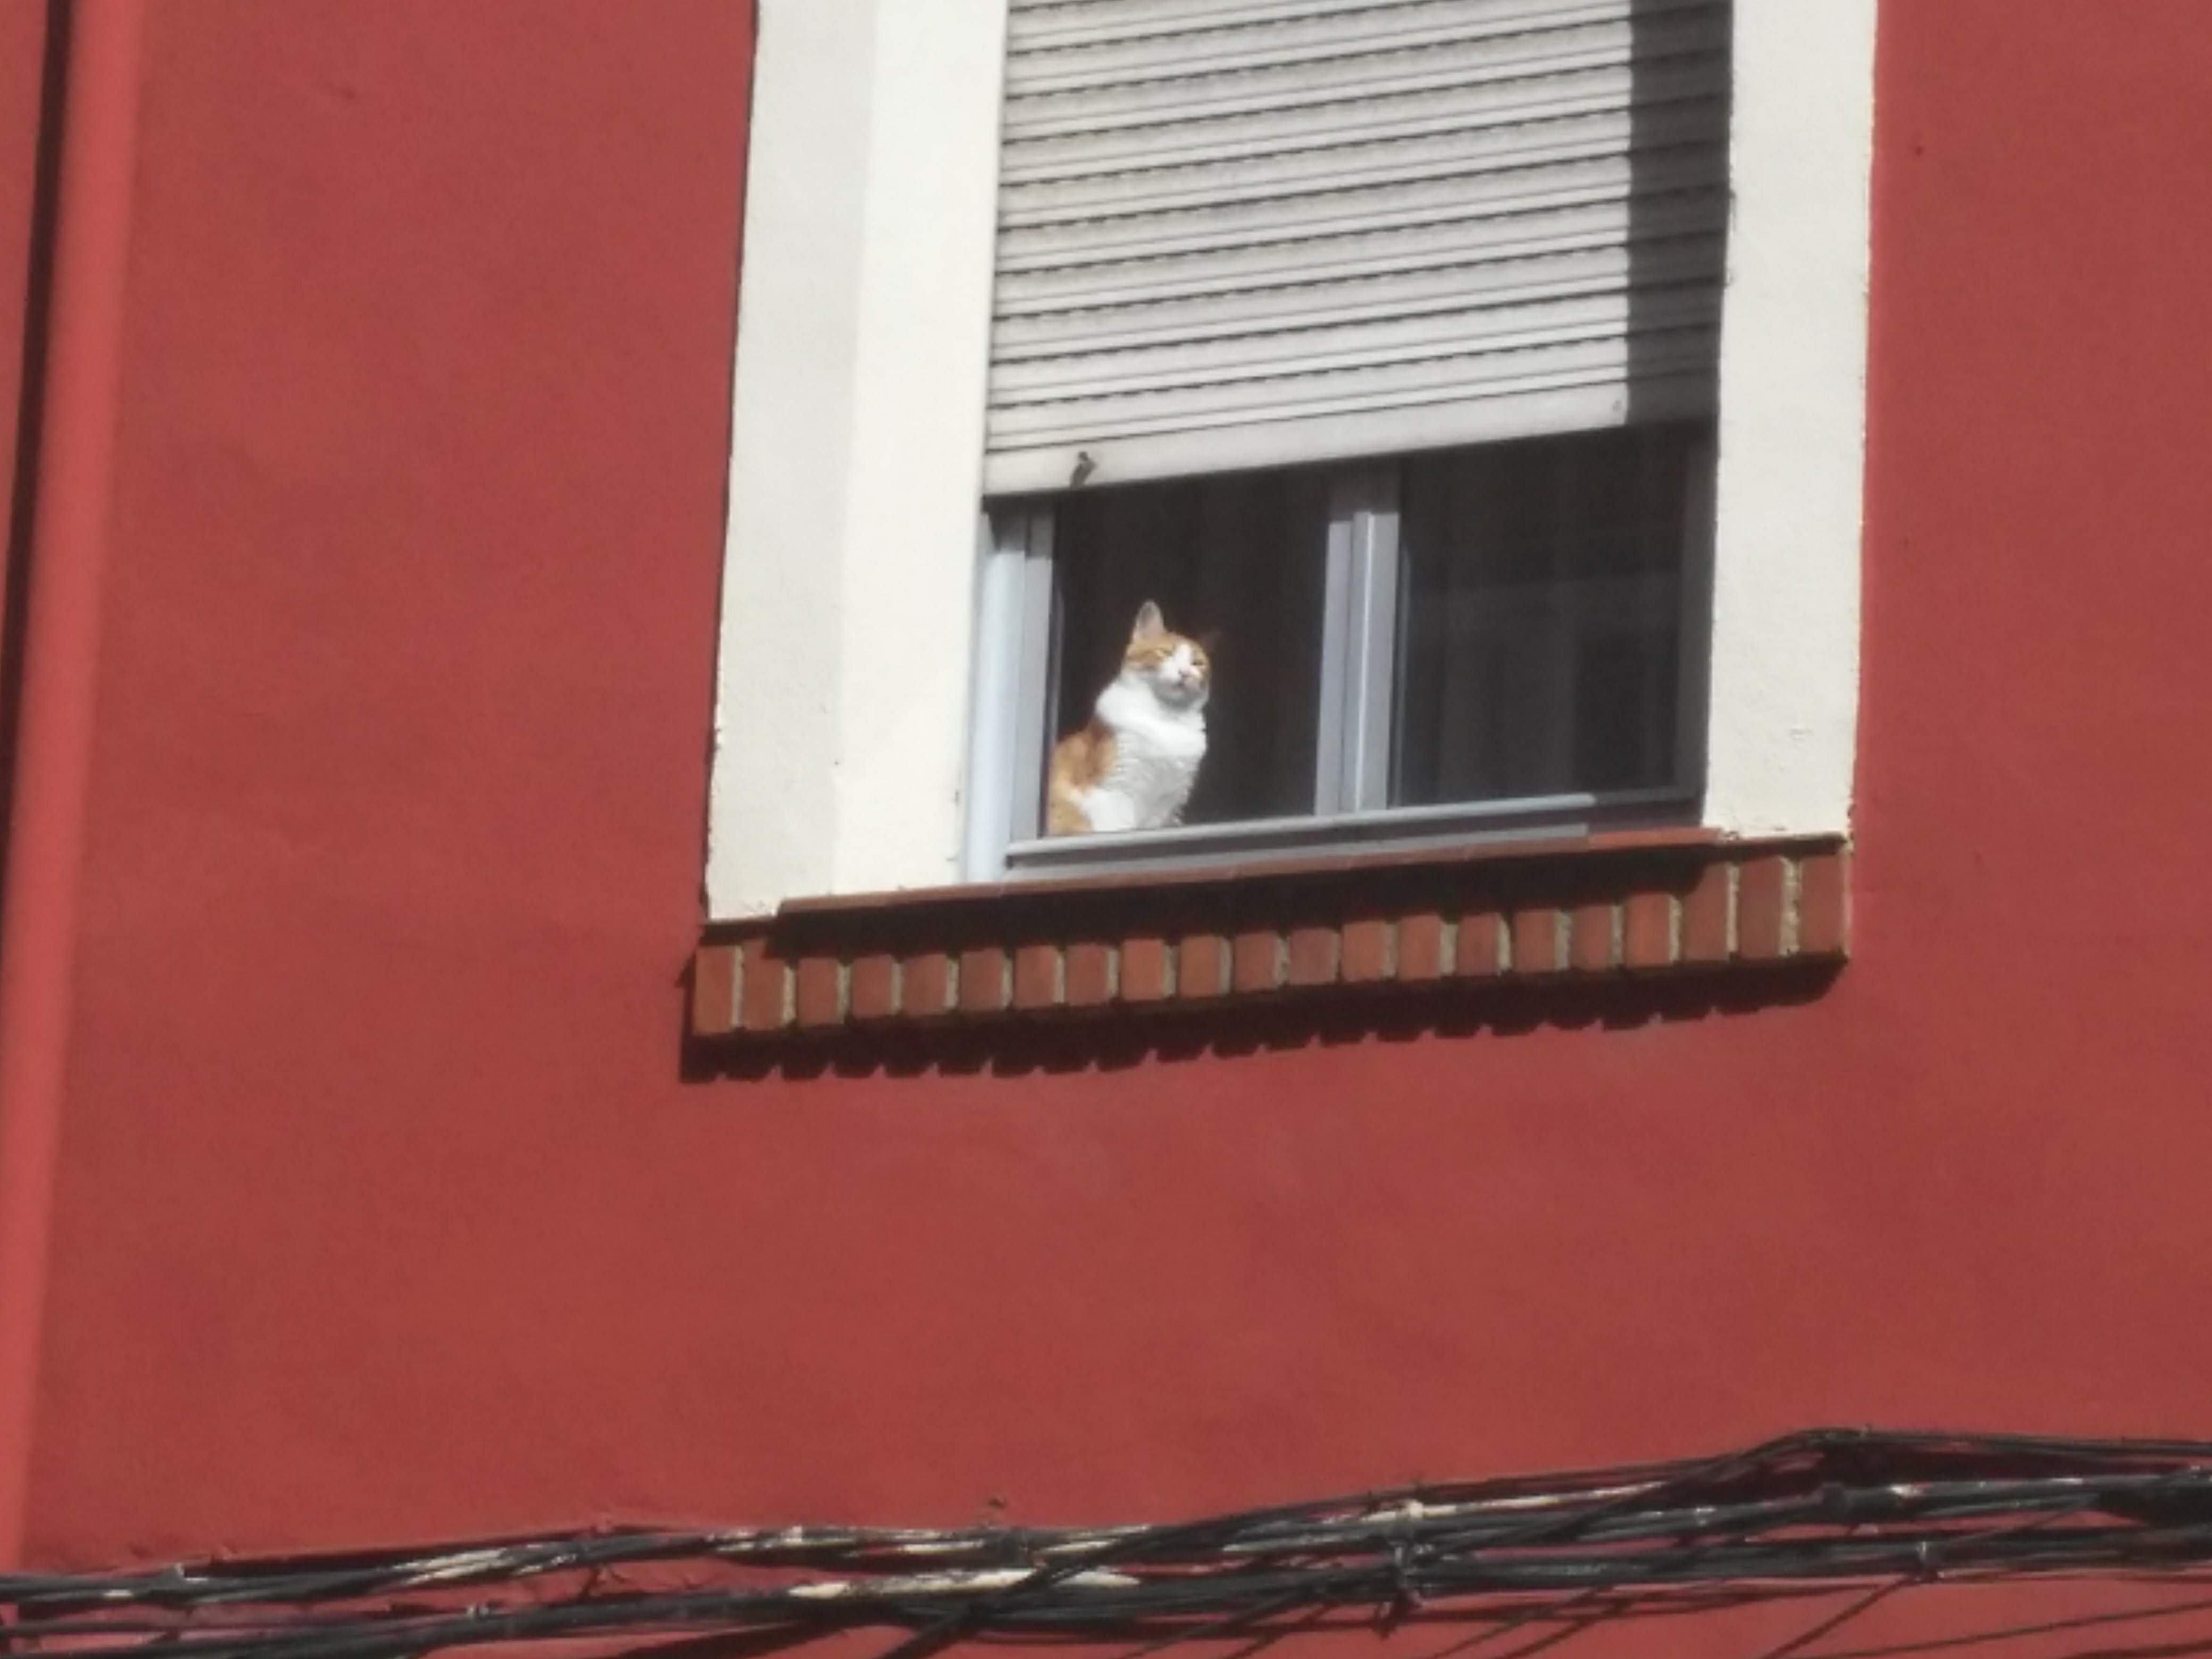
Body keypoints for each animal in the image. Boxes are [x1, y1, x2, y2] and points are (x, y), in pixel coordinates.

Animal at [1046, 601, 1210, 836]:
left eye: (1198, 663)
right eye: (1166, 653)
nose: (1185, 673)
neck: (1166, 717)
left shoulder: (1165, 804)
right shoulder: (1115, 791)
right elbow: (1118, 826)